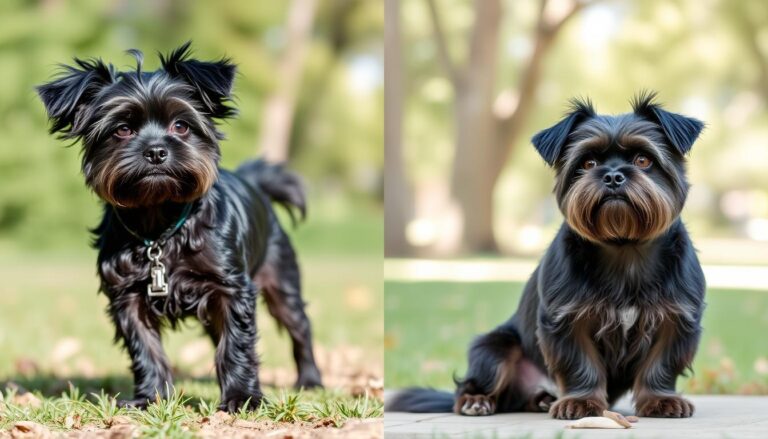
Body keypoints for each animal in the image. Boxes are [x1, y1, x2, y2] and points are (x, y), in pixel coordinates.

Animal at [36, 42, 320, 412]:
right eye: (122, 129)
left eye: (181, 126)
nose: (156, 151)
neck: (160, 226)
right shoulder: (127, 297)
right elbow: (145, 350)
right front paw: (150, 398)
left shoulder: (230, 289)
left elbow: (236, 346)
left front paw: (241, 398)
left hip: (281, 281)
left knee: (300, 326)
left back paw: (310, 379)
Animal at [390, 93, 708, 420]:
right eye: (588, 163)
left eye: (643, 160)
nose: (612, 176)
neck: (624, 247)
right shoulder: (566, 320)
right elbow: (580, 363)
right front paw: (581, 401)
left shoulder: (677, 319)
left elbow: (661, 364)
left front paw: (660, 399)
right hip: (494, 348)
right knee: (472, 383)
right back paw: (477, 400)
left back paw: (543, 399)